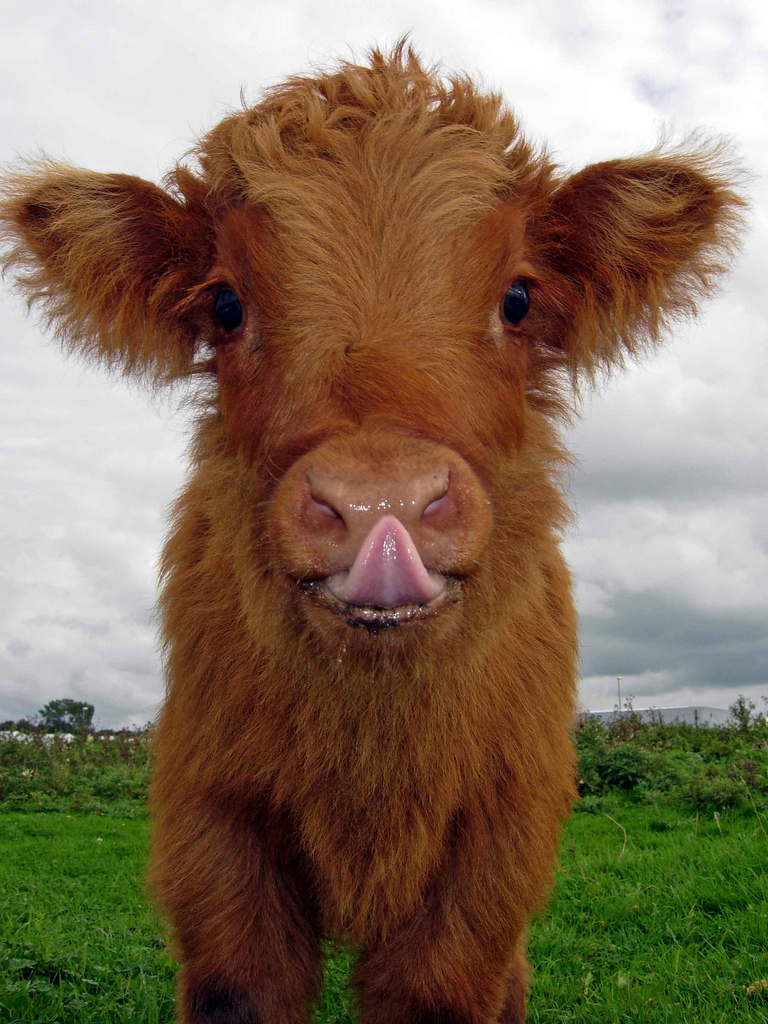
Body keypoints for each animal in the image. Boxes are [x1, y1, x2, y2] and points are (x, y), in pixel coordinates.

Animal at [1, 41, 745, 1024]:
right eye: (226, 306)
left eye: (518, 297)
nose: (378, 502)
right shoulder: (214, 830)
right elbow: (241, 986)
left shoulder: (493, 851)